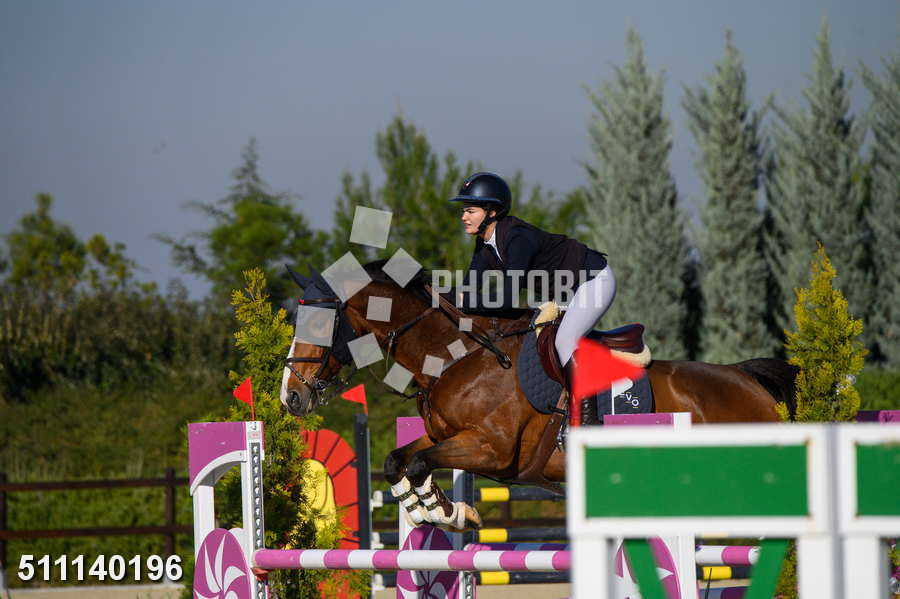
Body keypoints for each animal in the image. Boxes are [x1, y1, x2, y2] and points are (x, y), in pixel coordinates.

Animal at [281, 260, 797, 531]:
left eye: (320, 324)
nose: (291, 398)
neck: (454, 357)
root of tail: (749, 380)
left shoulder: (491, 450)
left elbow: (422, 461)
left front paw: (448, 511)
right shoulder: (448, 438)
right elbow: (399, 460)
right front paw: (436, 510)